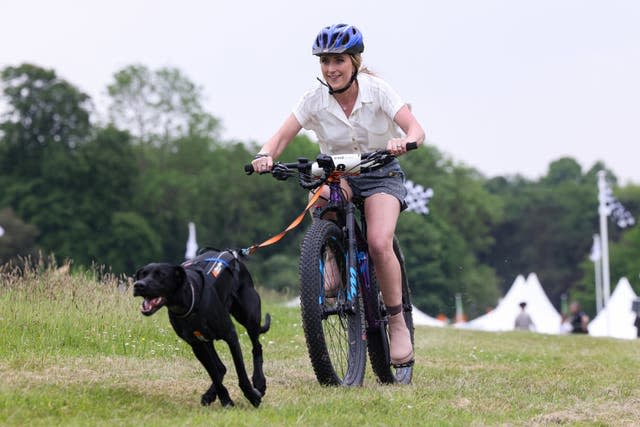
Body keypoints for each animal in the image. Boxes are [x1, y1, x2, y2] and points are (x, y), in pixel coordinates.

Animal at [132, 249, 268, 410]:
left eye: (161, 275)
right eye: (142, 274)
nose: (138, 285)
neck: (190, 300)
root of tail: (232, 254)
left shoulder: (230, 335)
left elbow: (240, 371)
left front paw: (252, 396)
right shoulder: (196, 345)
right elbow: (214, 373)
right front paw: (225, 399)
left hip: (249, 317)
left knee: (257, 347)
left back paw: (259, 382)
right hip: (207, 341)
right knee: (220, 368)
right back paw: (210, 395)